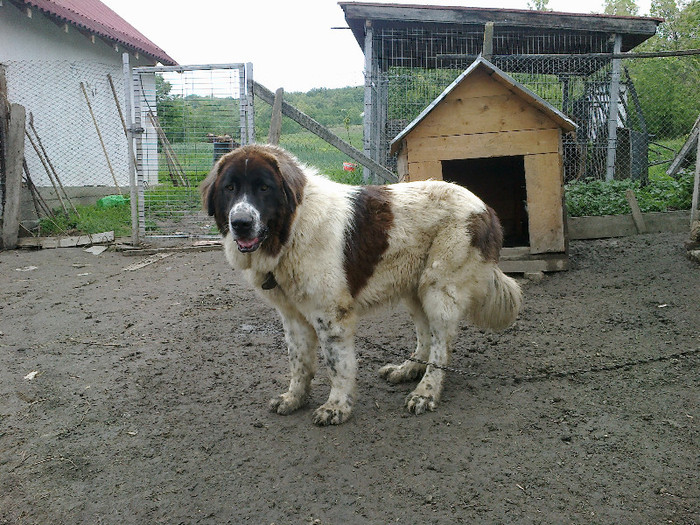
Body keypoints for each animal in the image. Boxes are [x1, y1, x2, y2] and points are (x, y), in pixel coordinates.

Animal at [201, 143, 520, 426]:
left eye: (264, 188)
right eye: (229, 188)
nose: (241, 222)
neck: (292, 229)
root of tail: (484, 207)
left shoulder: (331, 315)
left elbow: (337, 365)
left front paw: (337, 407)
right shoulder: (292, 316)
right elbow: (299, 362)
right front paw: (294, 398)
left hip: (438, 291)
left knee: (441, 345)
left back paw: (426, 392)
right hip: (414, 291)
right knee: (425, 335)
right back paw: (408, 369)